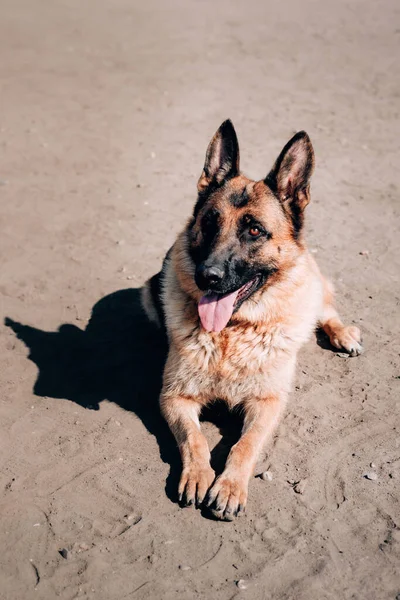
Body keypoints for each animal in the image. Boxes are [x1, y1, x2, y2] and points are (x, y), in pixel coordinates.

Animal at [141, 120, 362, 520]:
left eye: (254, 230)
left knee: (326, 309)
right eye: (209, 223)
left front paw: (229, 486)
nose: (207, 277)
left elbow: (244, 445)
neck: (233, 332)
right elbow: (194, 439)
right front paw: (198, 475)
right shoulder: (174, 397)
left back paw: (342, 333)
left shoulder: (268, 403)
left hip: (313, 289)